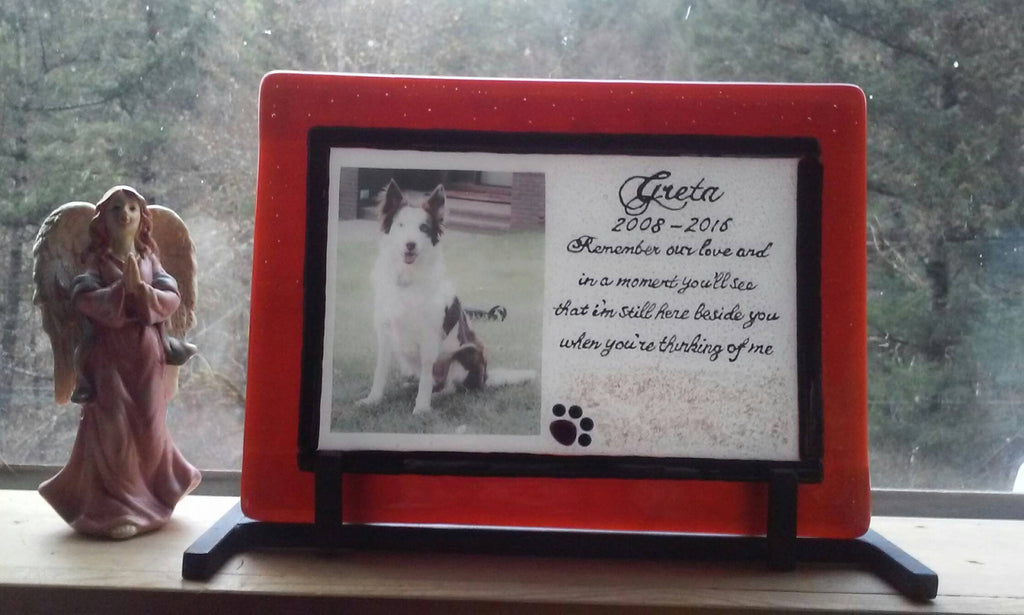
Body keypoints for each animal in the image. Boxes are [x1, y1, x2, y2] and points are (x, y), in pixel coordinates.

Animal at [358, 179, 531, 415]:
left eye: (423, 228)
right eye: (400, 225)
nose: (410, 244)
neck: (407, 279)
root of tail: (485, 377)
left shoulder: (429, 337)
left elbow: (425, 378)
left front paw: (421, 407)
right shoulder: (385, 333)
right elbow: (380, 372)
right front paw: (373, 400)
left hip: (466, 353)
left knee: (451, 387)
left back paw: (435, 396)